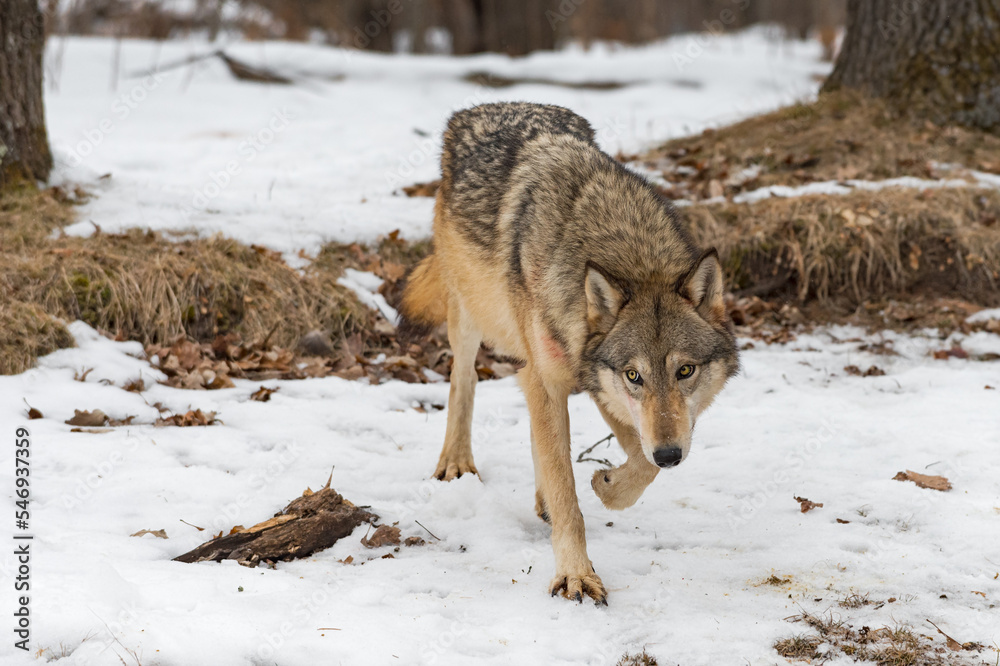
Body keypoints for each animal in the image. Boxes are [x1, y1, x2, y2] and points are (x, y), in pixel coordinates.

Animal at [398, 102, 739, 604]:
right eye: (635, 375)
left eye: (686, 371)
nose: (672, 455)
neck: (624, 249)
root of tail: (489, 107)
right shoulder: (561, 379)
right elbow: (567, 491)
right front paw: (575, 575)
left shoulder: (595, 379)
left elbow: (638, 463)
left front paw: (607, 484)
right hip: (469, 312)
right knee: (465, 380)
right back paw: (456, 462)